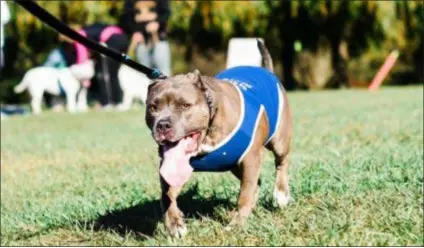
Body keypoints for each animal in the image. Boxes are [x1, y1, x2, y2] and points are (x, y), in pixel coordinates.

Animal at [145, 40, 292, 238]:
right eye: (153, 107)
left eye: (184, 105)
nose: (162, 125)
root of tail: (266, 71)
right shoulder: (170, 166)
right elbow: (166, 194)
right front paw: (174, 223)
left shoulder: (251, 158)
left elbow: (244, 194)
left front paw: (236, 225)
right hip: (234, 165)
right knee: (257, 182)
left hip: (279, 141)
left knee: (281, 162)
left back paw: (281, 193)